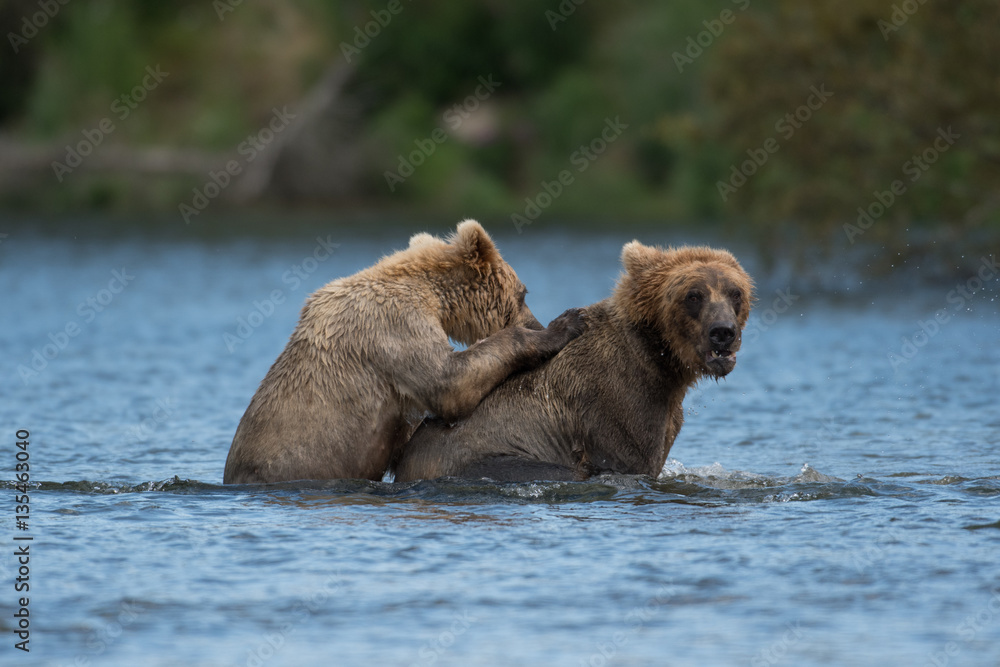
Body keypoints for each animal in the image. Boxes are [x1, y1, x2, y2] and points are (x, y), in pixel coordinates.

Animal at [223, 220, 586, 484]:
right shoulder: (397, 326)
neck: (433, 295)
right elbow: (449, 382)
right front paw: (566, 324)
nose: (537, 322)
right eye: (524, 293)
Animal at [393, 241, 754, 483]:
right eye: (694, 295)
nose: (723, 332)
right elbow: (629, 456)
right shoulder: (616, 406)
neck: (661, 363)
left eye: (735, 292)